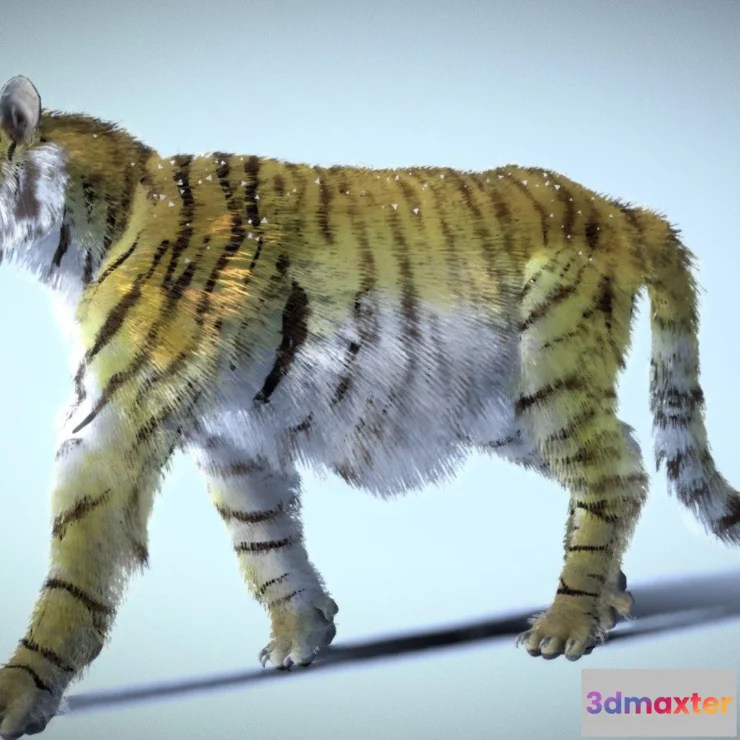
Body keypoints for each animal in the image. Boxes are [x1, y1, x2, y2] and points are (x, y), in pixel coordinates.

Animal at [0, 72, 737, 737]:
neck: (79, 233)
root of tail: (620, 208)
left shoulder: (112, 424)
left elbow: (74, 572)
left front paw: (20, 692)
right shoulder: (232, 437)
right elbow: (263, 541)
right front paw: (302, 633)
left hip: (551, 372)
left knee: (617, 471)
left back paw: (569, 620)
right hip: (508, 412)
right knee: (613, 465)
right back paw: (611, 598)